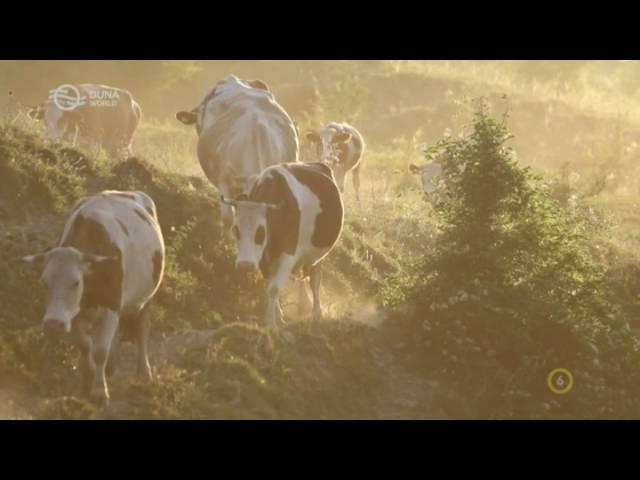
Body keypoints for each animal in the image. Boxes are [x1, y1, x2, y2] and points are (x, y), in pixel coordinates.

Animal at [23, 190, 165, 404]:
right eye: (43, 282)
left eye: (76, 282)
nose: (53, 325)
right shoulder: (74, 314)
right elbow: (85, 345)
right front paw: (88, 381)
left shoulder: (111, 305)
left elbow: (99, 351)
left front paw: (99, 392)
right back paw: (111, 366)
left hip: (146, 298)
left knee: (142, 329)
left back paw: (143, 372)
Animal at [224, 162, 348, 326]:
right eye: (235, 229)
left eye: (261, 231)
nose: (245, 265)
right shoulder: (263, 258)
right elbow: (269, 286)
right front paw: (278, 317)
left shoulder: (289, 253)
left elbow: (274, 288)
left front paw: (270, 321)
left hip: (317, 258)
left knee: (315, 282)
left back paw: (316, 313)